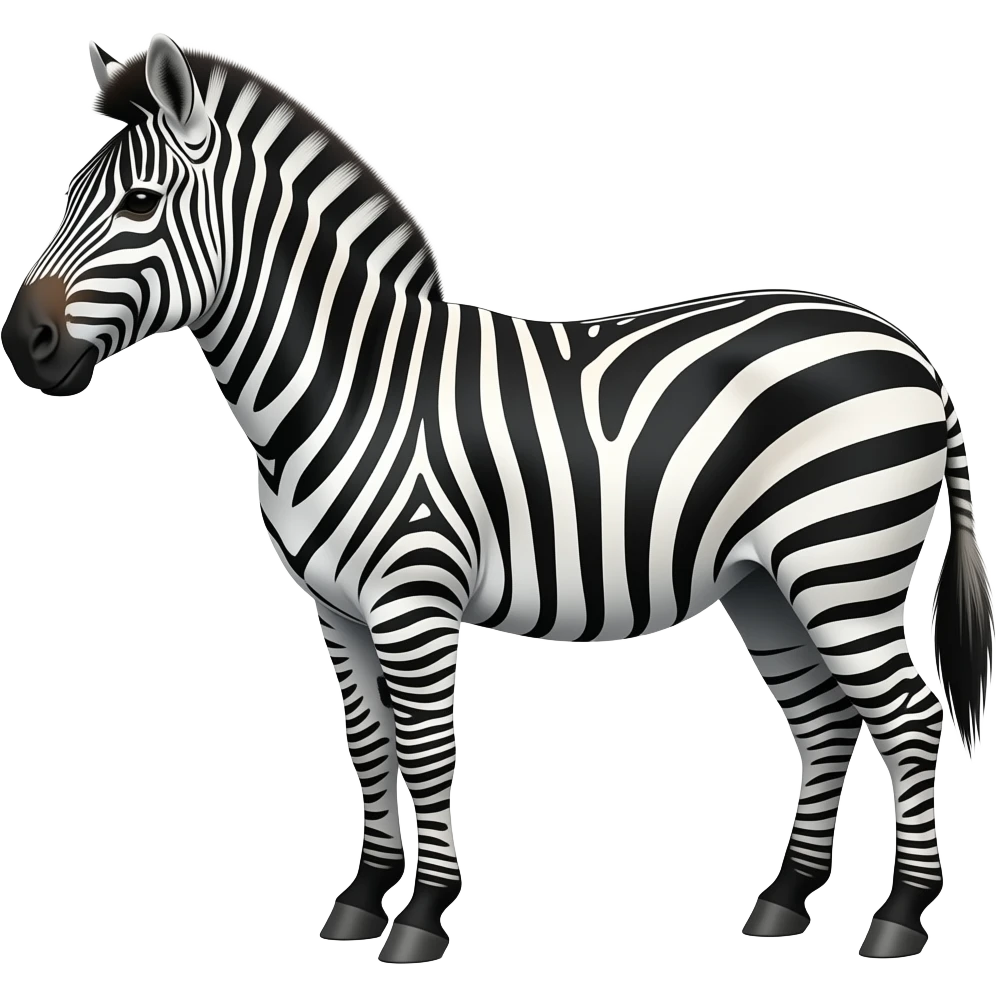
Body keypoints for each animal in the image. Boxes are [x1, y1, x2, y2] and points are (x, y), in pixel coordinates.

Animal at [1, 34, 991, 964]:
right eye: (64, 197)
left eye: (138, 204)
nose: (23, 345)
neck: (349, 385)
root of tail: (916, 355)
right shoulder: (337, 609)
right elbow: (370, 746)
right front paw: (362, 899)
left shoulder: (414, 597)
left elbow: (428, 747)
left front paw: (422, 917)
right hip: (766, 581)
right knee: (826, 722)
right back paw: (785, 900)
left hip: (843, 564)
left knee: (908, 719)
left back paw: (899, 917)